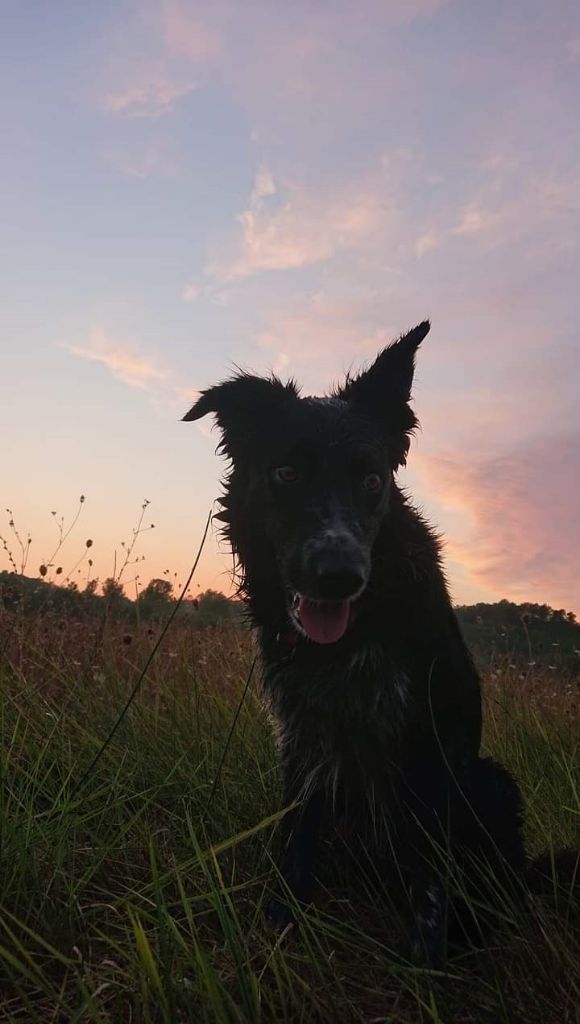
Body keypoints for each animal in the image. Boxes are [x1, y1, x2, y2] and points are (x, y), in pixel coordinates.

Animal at [185, 323, 528, 962]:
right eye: (287, 473)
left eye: (372, 480)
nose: (339, 574)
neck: (351, 638)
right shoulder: (302, 738)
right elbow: (295, 840)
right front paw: (280, 922)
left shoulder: (427, 743)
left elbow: (430, 878)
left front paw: (427, 961)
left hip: (493, 782)